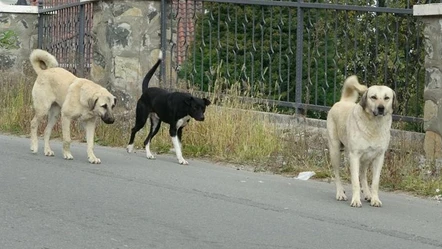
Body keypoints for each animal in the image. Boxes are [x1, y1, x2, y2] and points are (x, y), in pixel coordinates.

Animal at [326, 75, 396, 207]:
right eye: (373, 97)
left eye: (386, 98)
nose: (381, 108)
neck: (374, 125)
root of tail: (343, 101)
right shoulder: (354, 156)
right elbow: (355, 182)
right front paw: (356, 200)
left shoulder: (379, 157)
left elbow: (375, 182)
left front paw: (375, 199)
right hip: (335, 151)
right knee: (337, 174)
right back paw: (340, 193)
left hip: (366, 159)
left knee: (363, 175)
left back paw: (368, 194)